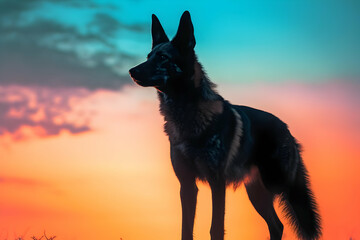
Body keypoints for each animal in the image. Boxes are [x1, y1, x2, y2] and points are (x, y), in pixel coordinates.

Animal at [129, 10, 320, 239]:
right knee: (277, 225)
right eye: (148, 56)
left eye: (163, 57)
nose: (131, 71)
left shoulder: (217, 182)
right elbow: (186, 229)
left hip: (283, 186)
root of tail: (286, 129)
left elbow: (216, 228)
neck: (187, 115)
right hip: (257, 194)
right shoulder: (187, 185)